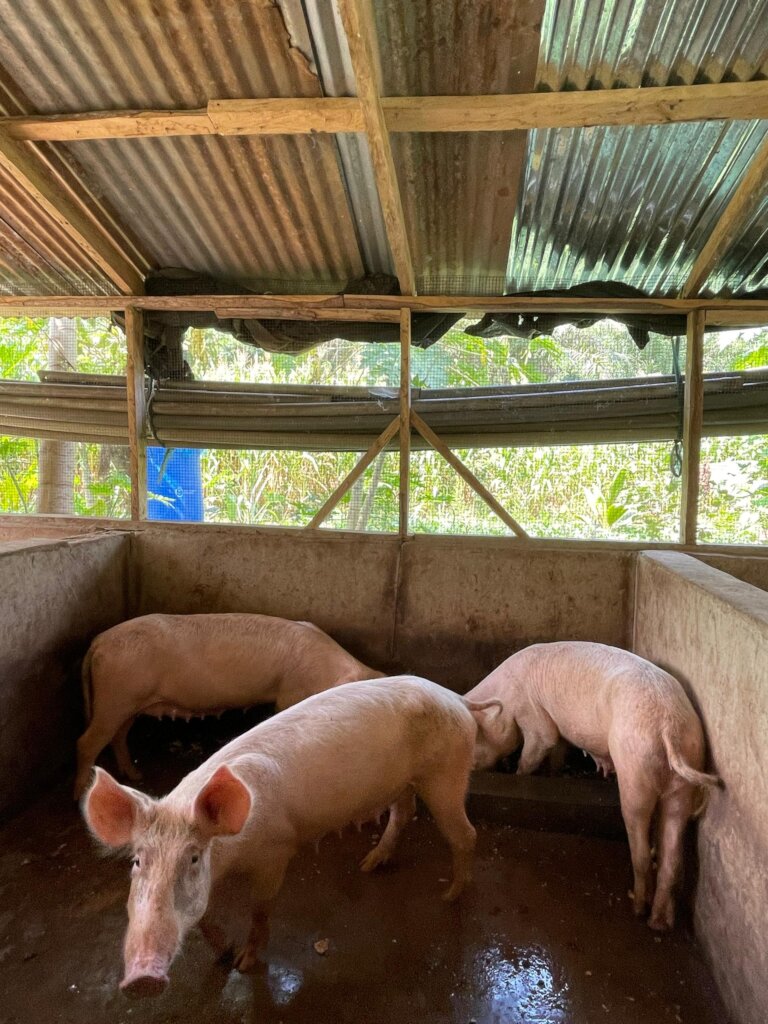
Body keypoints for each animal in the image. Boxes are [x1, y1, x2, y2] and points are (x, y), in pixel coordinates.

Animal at [75, 613, 384, 799]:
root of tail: (98, 642)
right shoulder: (290, 694)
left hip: (127, 703)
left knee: (118, 735)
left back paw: (135, 776)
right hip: (115, 698)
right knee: (87, 742)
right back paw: (80, 795)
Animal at [82, 676, 502, 997]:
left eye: (194, 857)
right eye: (138, 861)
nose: (141, 979)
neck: (232, 859)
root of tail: (458, 699)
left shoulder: (276, 852)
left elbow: (260, 908)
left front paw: (244, 962)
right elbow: (201, 914)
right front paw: (225, 954)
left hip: (446, 774)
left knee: (465, 833)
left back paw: (449, 895)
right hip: (406, 781)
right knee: (404, 812)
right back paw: (369, 865)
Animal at [467, 641, 720, 931]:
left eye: (475, 741)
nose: (469, 769)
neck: (505, 695)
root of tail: (668, 726)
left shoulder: (532, 713)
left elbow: (540, 743)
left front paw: (519, 773)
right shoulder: (560, 728)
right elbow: (557, 751)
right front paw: (552, 774)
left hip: (635, 768)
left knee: (641, 847)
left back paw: (637, 907)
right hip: (685, 774)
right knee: (672, 857)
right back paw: (660, 923)